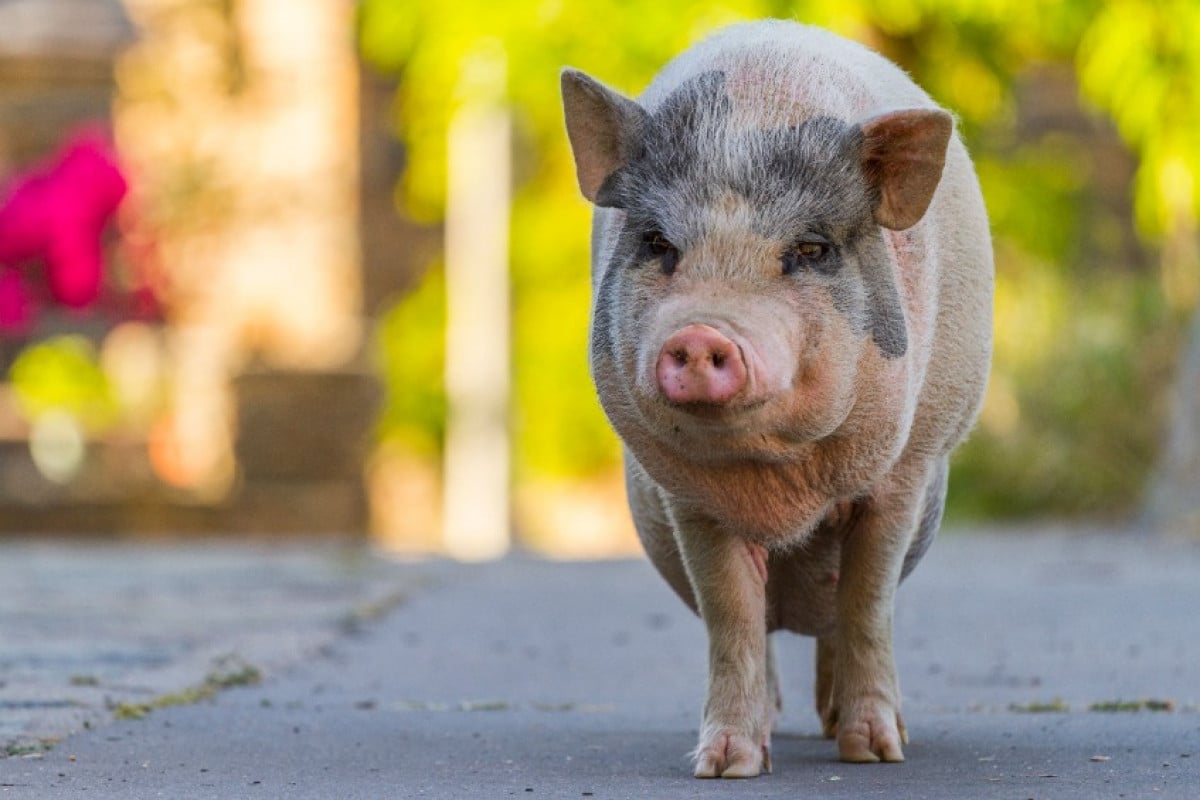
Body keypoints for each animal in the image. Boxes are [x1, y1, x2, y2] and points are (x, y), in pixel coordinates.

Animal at [560, 20, 992, 778]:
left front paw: (877, 754)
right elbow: (731, 612)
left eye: (810, 248)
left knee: (833, 616)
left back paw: (837, 728)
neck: (782, 487)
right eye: (658, 242)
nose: (701, 334)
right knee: (766, 624)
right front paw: (724, 766)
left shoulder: (903, 475)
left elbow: (867, 603)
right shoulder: (689, 497)